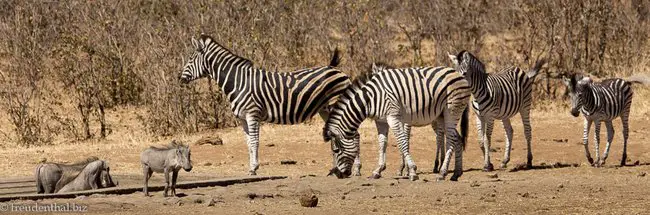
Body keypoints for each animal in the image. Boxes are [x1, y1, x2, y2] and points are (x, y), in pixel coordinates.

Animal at [177, 34, 350, 175]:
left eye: (191, 59)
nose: (179, 78)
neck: (238, 82)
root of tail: (335, 68)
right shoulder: (243, 118)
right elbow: (248, 143)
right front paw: (251, 167)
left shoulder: (253, 114)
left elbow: (255, 141)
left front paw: (254, 168)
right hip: (325, 110)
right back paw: (336, 168)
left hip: (337, 105)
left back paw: (351, 170)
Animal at [322, 63, 468, 181]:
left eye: (336, 150)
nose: (339, 175)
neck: (370, 98)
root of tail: (458, 73)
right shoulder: (380, 121)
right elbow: (382, 143)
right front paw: (378, 170)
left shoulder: (393, 117)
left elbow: (402, 142)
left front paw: (412, 171)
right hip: (441, 115)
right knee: (457, 138)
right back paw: (456, 173)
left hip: (452, 110)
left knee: (450, 139)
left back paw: (442, 173)